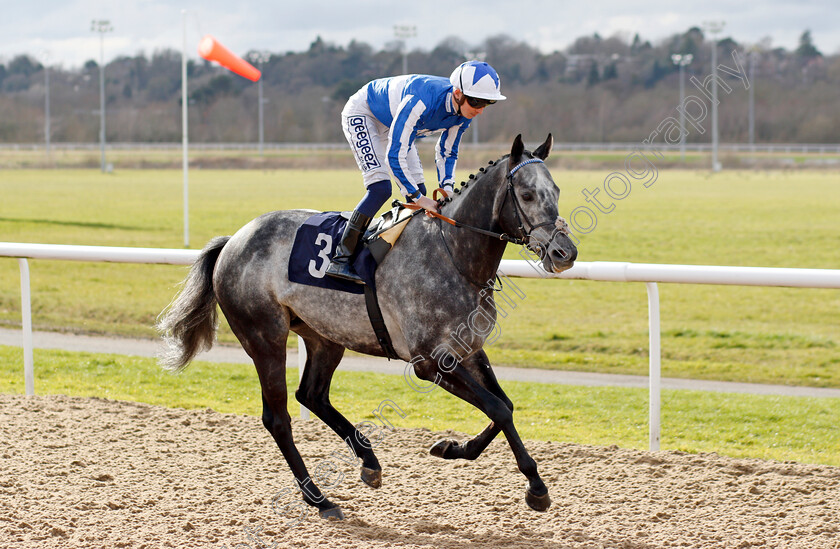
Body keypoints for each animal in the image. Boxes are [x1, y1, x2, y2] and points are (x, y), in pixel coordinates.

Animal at [158, 135, 576, 520]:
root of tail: (233, 240)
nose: (565, 253)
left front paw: (455, 449)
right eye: (526, 194)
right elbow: (497, 408)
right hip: (264, 337)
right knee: (277, 418)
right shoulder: (429, 362)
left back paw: (369, 462)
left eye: (556, 190)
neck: (455, 255)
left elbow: (504, 406)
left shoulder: (469, 349)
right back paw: (319, 499)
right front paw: (536, 488)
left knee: (313, 395)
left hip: (324, 336)